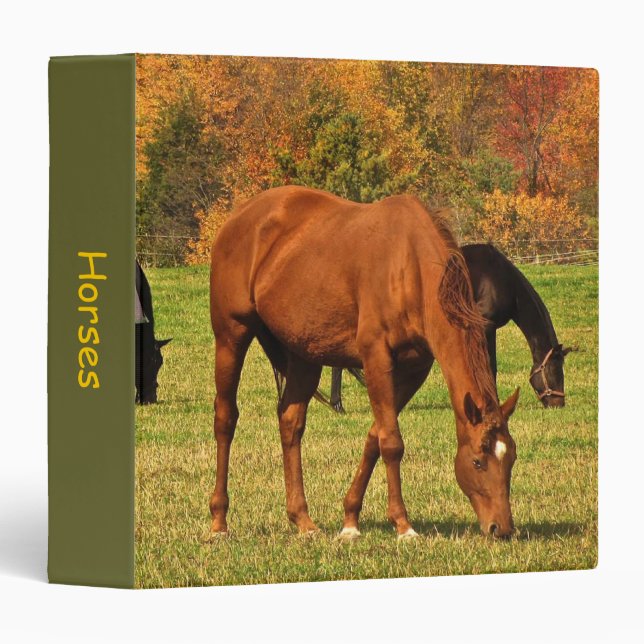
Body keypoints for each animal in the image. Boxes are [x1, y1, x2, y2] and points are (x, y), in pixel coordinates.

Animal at [209, 186, 519, 540]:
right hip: (231, 335)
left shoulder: (414, 370)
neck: (408, 267)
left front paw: (350, 520)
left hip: (304, 355)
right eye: (478, 461)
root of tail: (238, 217)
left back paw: (303, 520)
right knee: (225, 419)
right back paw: (219, 522)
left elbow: (375, 438)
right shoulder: (376, 359)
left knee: (290, 423)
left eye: (511, 458)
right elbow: (392, 442)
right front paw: (403, 525)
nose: (502, 528)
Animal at [326, 243, 573, 413]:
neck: (502, 280)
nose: (559, 403)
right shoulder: (486, 326)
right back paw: (339, 404)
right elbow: (490, 366)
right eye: (556, 371)